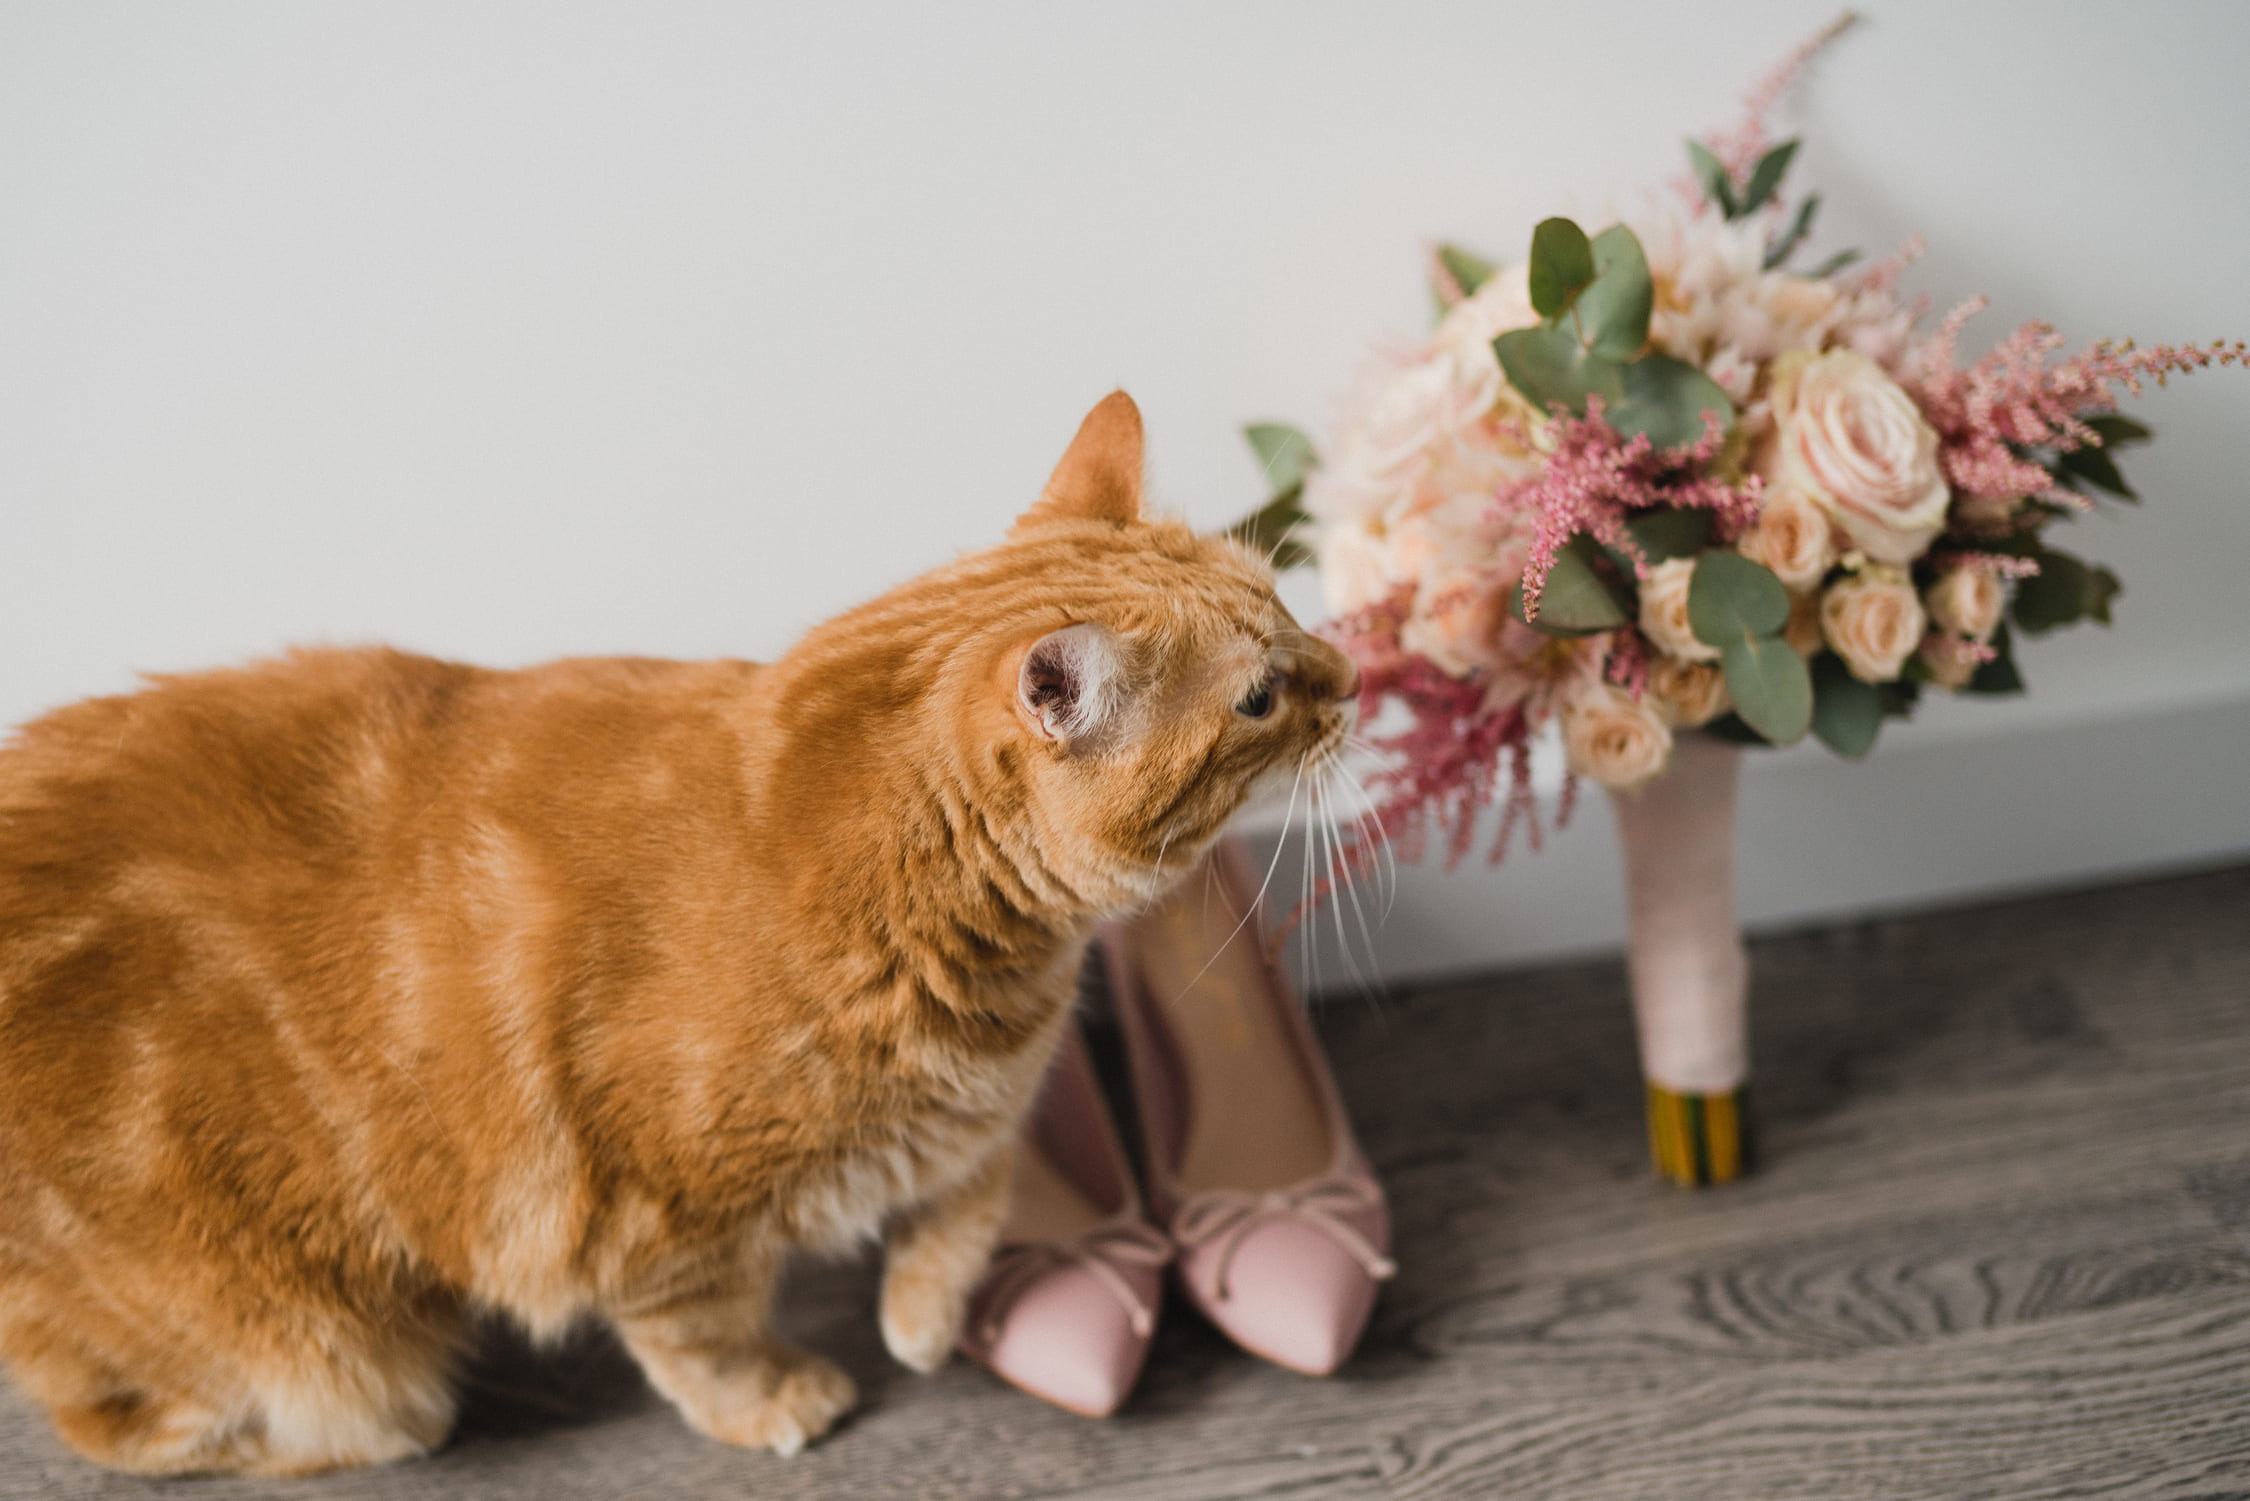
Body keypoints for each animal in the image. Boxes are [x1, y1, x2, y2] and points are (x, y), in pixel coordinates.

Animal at [0, 396, 1350, 1476]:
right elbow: (705, 1338)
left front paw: (922, 1315)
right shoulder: (656, 1220)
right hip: (312, 1338)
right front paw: (776, 1401)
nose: (1348, 673)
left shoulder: (980, 1109)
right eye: (1260, 698)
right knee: (145, 1417)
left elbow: (973, 1191)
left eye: (1288, 605)